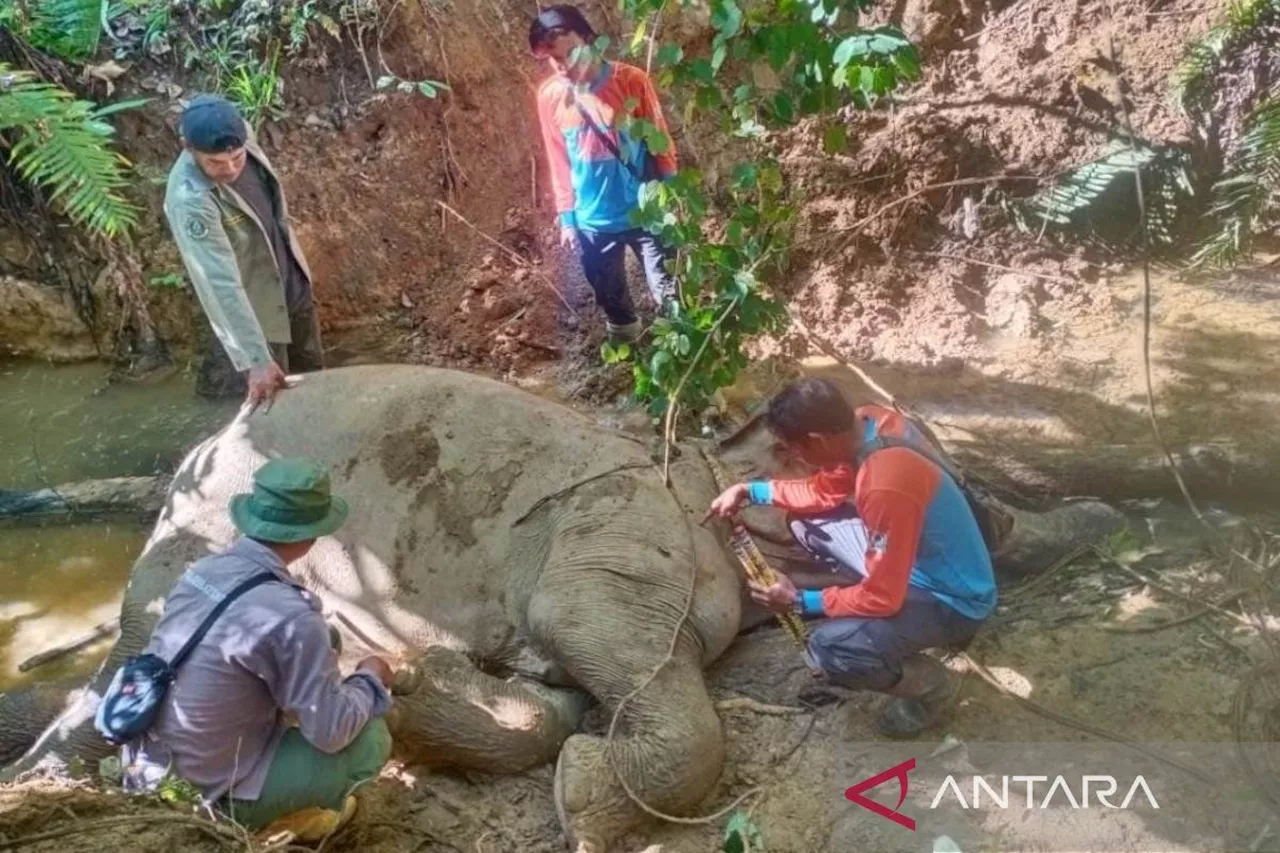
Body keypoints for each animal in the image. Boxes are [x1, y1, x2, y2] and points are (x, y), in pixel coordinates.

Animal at [0, 361, 1121, 845]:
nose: (1008, 529)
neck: (703, 456)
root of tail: (201, 442)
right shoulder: (618, 534)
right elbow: (611, 656)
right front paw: (584, 806)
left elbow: (563, 696)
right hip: (202, 519)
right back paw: (52, 780)